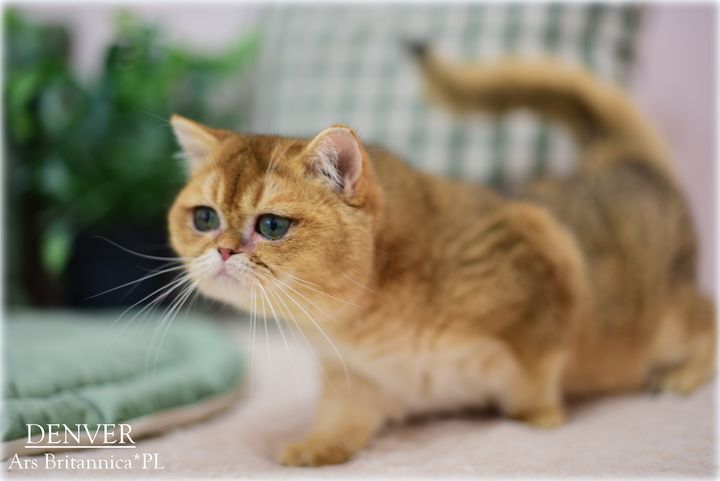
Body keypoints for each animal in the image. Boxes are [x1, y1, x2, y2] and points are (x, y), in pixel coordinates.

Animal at [167, 45, 715, 467]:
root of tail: (620, 159)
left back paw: (682, 374)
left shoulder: (542, 256)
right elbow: (342, 418)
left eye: (272, 226)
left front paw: (540, 421)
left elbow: (535, 384)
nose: (222, 250)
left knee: (708, 317)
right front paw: (316, 446)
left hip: (662, 321)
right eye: (204, 218)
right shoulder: (360, 379)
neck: (363, 320)